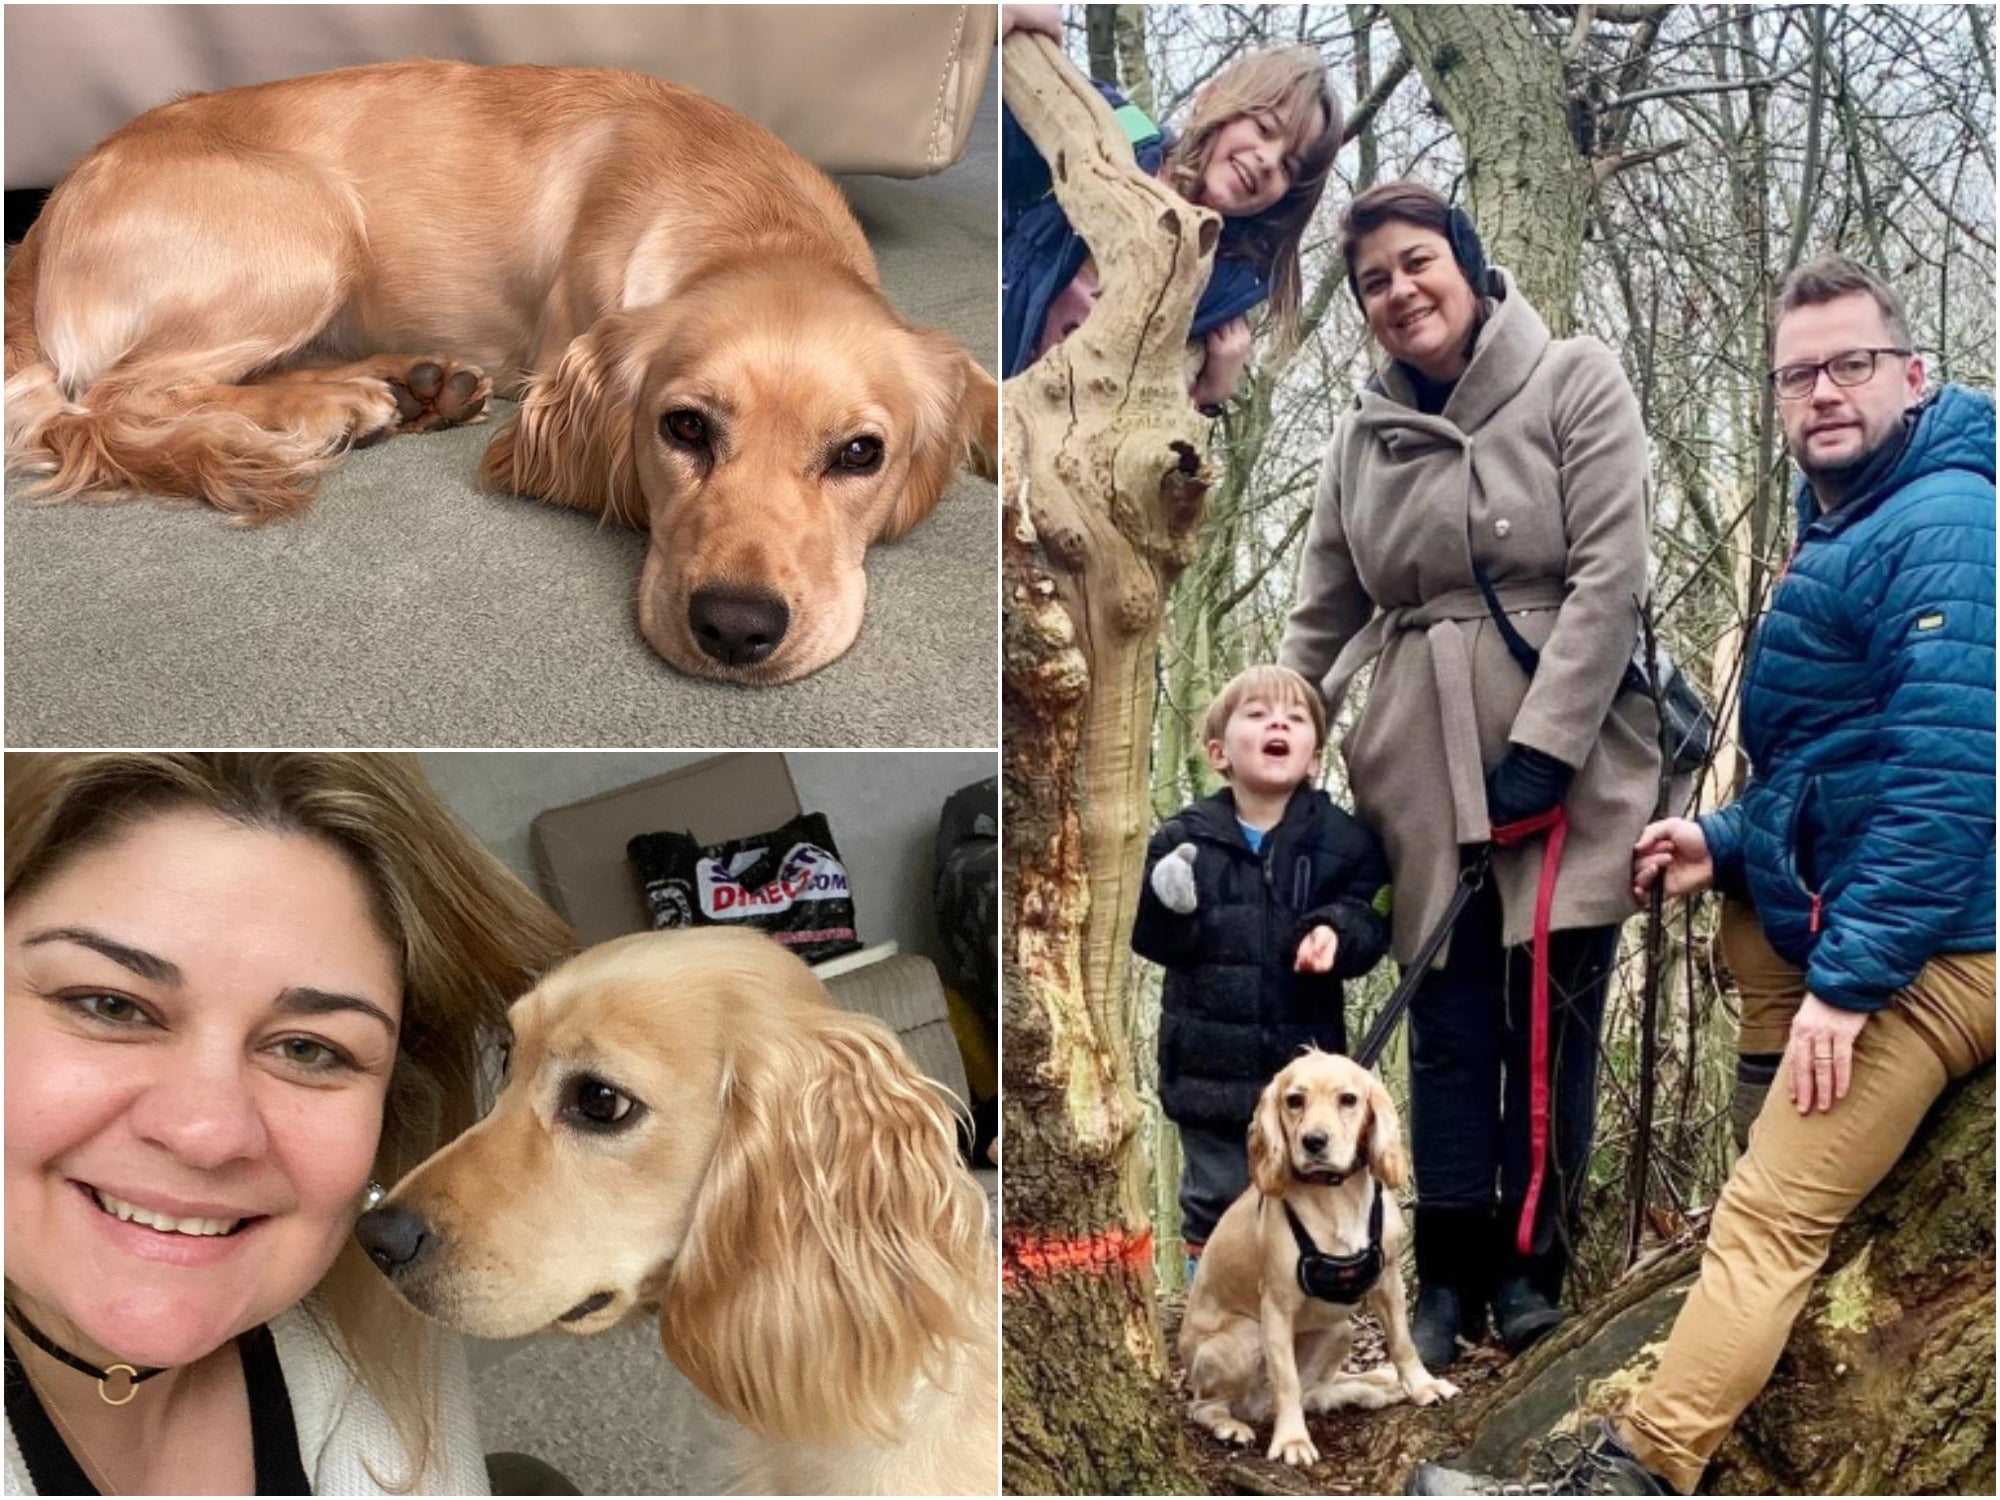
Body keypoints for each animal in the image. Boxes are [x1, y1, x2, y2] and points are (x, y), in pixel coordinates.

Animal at [3, 61, 996, 684]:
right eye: (683, 428)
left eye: (861, 454)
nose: (736, 629)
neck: (749, 213)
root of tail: (44, 223)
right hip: (311, 222)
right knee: (115, 404)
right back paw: (336, 404)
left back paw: (415, 383)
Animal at [1176, 1056, 1464, 1472]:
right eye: (1294, 1100)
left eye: (1348, 1099)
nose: (1314, 1141)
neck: (1336, 1195)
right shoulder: (1276, 1306)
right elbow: (1287, 1381)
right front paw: (1292, 1440)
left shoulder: (1388, 1279)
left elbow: (1402, 1342)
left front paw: (1422, 1385)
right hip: (1242, 1339)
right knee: (1206, 1405)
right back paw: (1231, 1425)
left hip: (1339, 1329)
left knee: (1314, 1391)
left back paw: (1371, 1390)